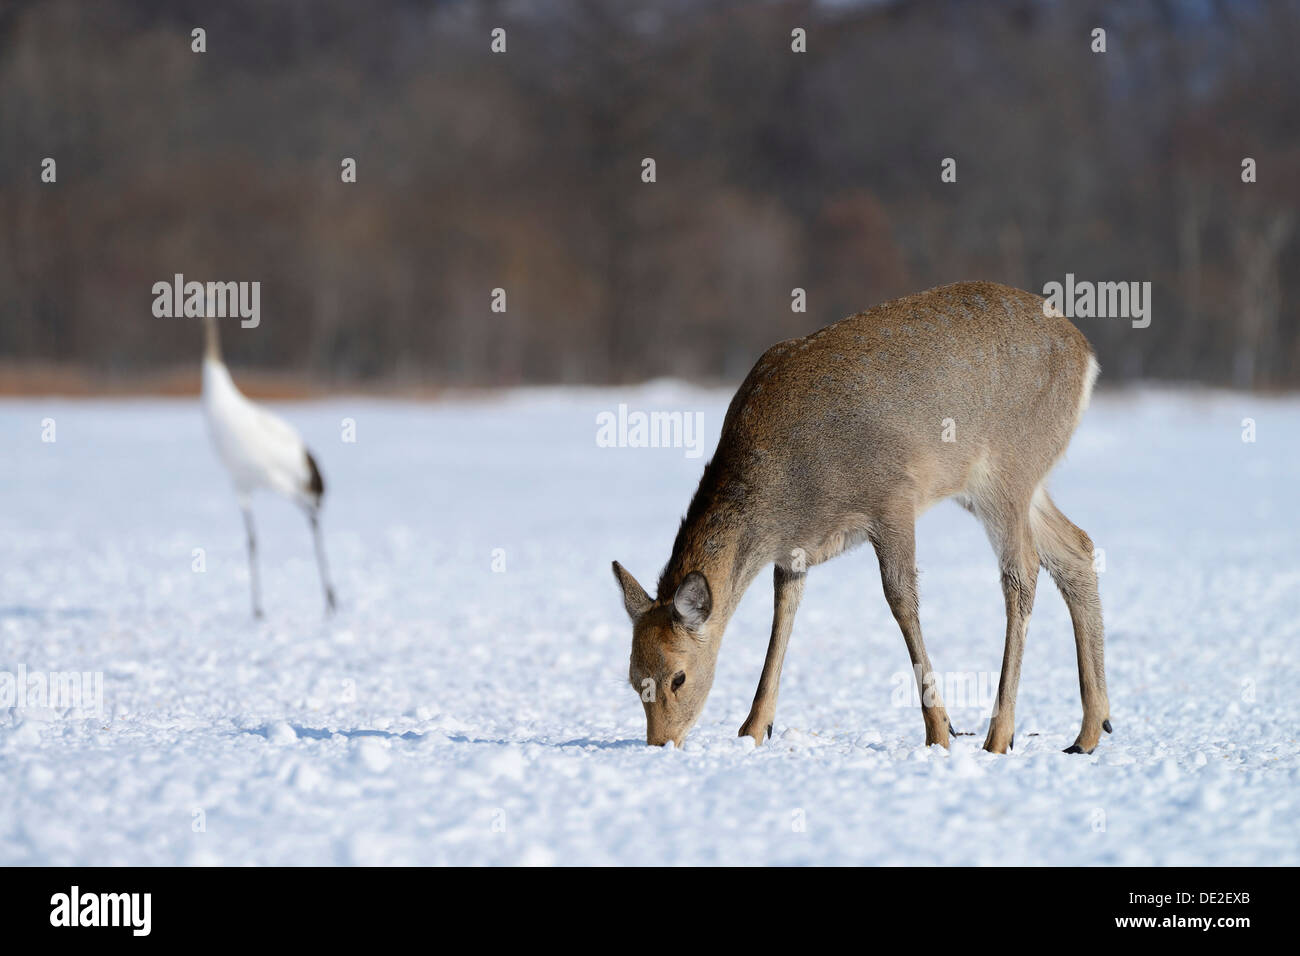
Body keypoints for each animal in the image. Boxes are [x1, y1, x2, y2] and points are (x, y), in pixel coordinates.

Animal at [612, 281, 1110, 755]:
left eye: (678, 676)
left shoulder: (892, 497)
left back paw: (1000, 734)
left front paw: (940, 731)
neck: (787, 493)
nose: (659, 743)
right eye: (634, 679)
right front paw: (753, 730)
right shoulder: (796, 550)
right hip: (1004, 486)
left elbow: (900, 599)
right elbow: (783, 612)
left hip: (1008, 467)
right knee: (1077, 548)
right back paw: (1089, 732)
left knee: (1022, 572)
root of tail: (1086, 355)